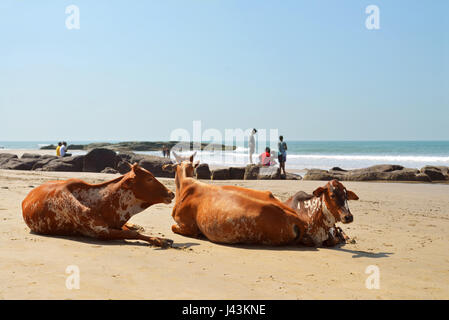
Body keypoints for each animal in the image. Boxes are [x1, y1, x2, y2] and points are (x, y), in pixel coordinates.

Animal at [21, 162, 175, 248]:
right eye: (149, 179)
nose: (172, 193)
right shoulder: (99, 232)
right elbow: (131, 234)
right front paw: (160, 240)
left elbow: (130, 231)